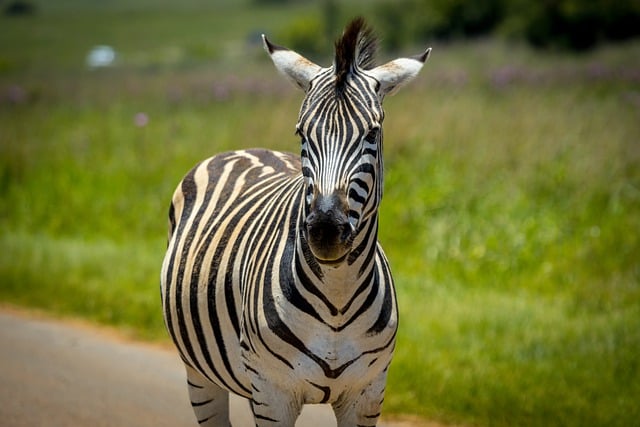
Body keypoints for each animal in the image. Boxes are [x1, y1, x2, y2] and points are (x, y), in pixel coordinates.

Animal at [161, 17, 430, 427]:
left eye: (372, 132)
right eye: (302, 132)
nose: (325, 230)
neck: (338, 297)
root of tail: (248, 149)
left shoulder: (368, 393)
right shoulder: (273, 394)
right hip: (199, 373)